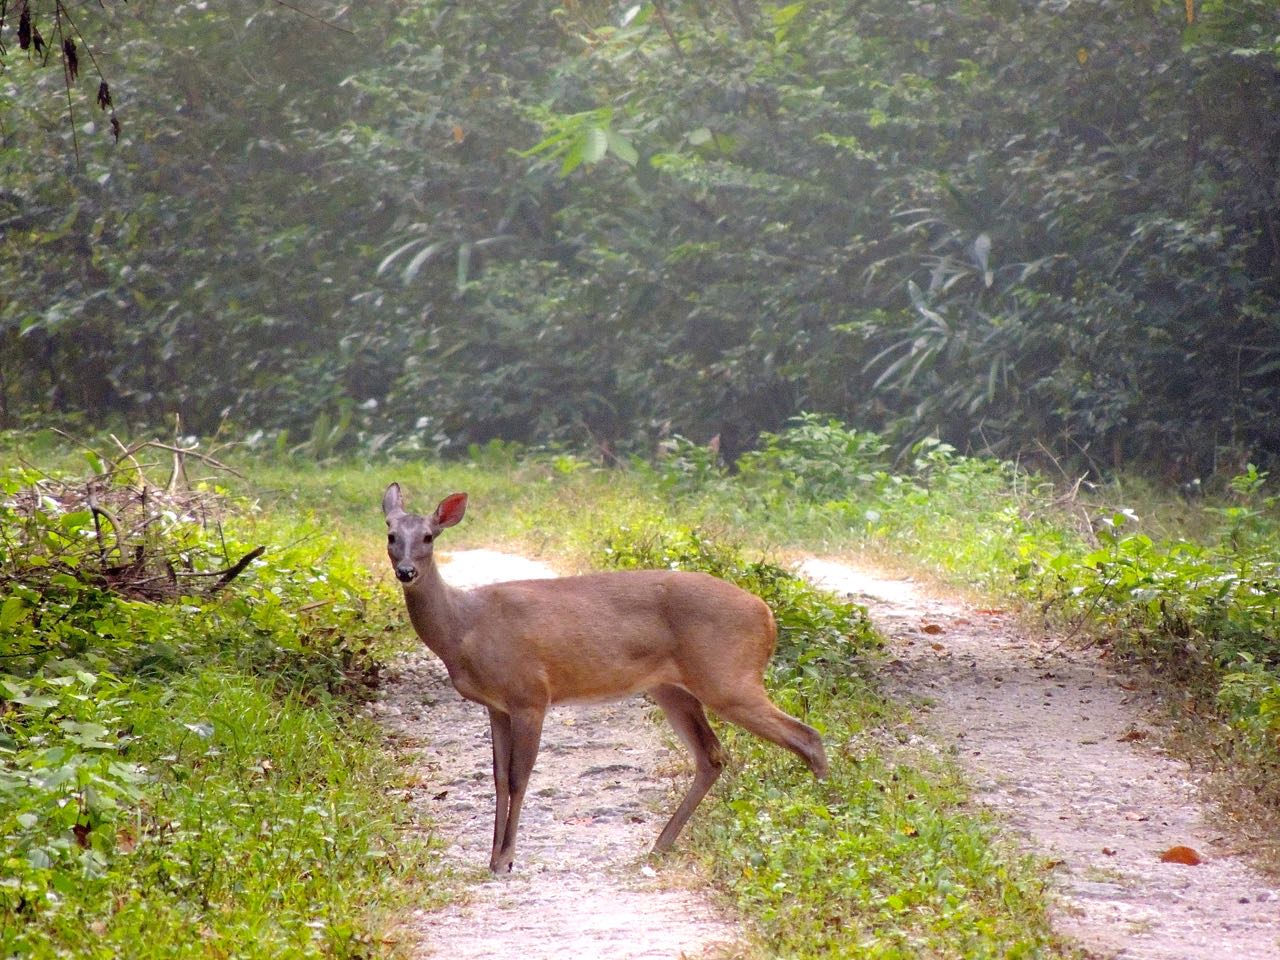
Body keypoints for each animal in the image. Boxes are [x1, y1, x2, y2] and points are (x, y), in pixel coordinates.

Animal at [378, 483, 829, 875]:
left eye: (429, 536)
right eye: (390, 534)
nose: (406, 571)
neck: (464, 629)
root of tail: (767, 615)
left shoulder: (530, 694)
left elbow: (520, 778)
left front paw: (505, 859)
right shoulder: (497, 705)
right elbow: (499, 779)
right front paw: (492, 858)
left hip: (728, 676)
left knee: (806, 735)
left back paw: (827, 810)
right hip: (672, 688)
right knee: (713, 755)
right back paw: (660, 845)